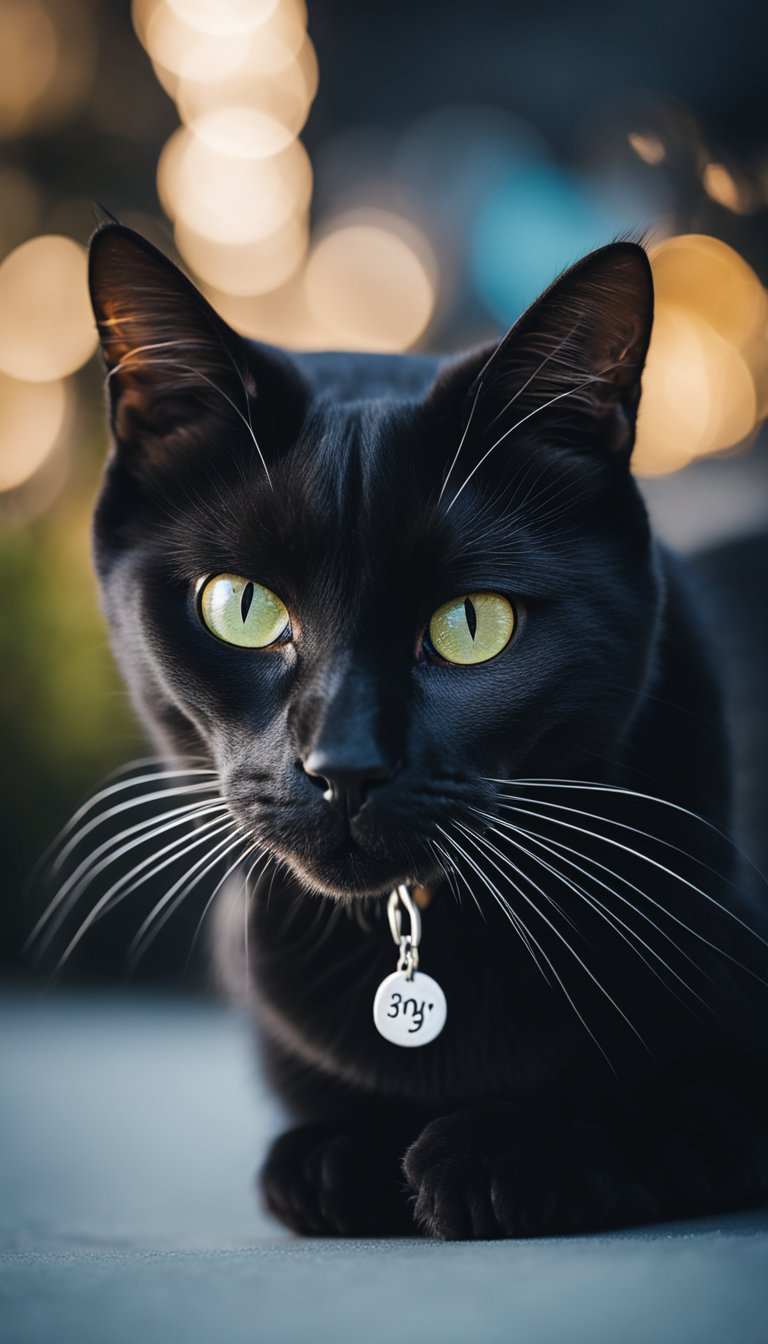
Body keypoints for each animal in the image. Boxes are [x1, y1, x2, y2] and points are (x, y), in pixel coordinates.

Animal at [87, 223, 763, 1236]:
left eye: (471, 623)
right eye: (242, 607)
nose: (344, 764)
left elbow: (676, 1103)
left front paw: (501, 1149)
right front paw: (339, 1157)